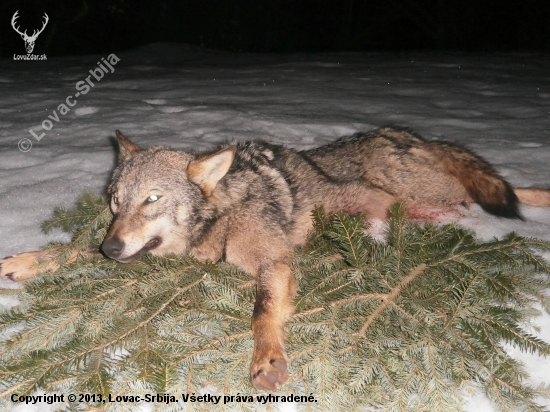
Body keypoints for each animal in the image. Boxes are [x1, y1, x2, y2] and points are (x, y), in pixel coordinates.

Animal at [1, 128, 550, 390]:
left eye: (152, 200)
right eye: (116, 202)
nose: (113, 248)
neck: (220, 218)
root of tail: (399, 132)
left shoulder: (273, 262)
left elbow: (261, 310)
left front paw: (267, 358)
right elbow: (72, 251)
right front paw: (24, 261)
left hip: (428, 188)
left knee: (499, 187)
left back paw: (538, 196)